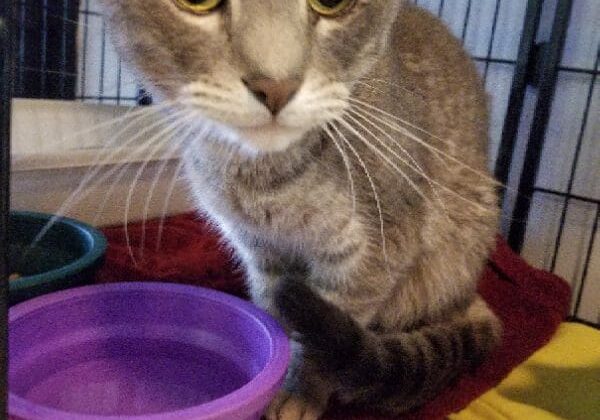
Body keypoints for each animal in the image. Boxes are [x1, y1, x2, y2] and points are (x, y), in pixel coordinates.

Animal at [99, 1, 502, 418]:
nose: (275, 86)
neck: (262, 175)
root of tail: (471, 294)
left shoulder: (373, 254)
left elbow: (322, 343)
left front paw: (299, 391)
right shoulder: (261, 251)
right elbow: (275, 318)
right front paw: (274, 369)